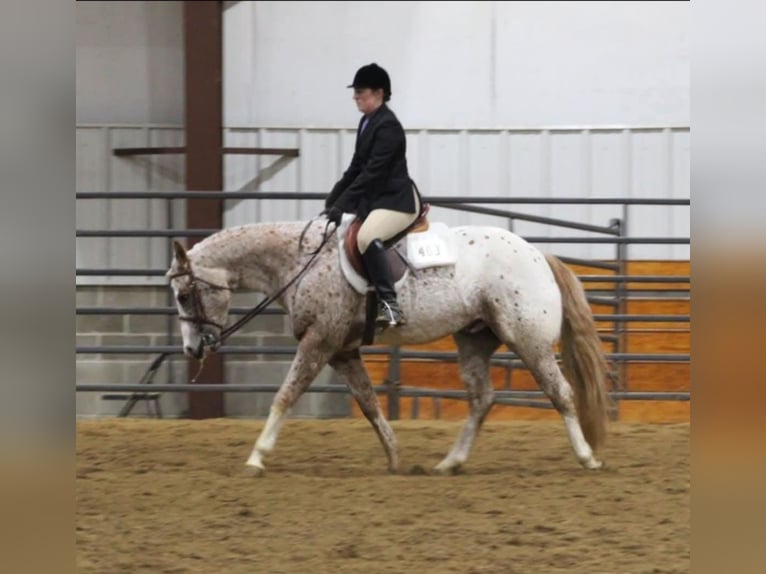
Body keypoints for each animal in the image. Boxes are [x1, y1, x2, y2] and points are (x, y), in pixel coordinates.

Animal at [166, 213, 612, 476]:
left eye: (184, 296)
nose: (192, 351)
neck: (301, 261)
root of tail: (538, 255)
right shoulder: (342, 351)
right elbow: (368, 403)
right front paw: (395, 456)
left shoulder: (318, 343)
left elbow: (285, 396)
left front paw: (256, 457)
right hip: (473, 340)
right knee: (482, 399)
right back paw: (449, 462)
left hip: (528, 339)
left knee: (560, 392)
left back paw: (587, 457)